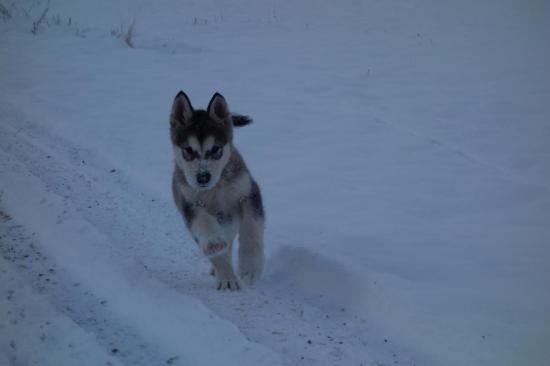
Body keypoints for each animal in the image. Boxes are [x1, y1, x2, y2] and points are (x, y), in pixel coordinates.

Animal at [172, 92, 268, 292]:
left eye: (215, 149)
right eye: (188, 150)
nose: (203, 177)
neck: (216, 188)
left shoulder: (249, 193)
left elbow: (251, 228)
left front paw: (250, 267)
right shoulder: (189, 203)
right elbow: (204, 225)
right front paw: (225, 274)